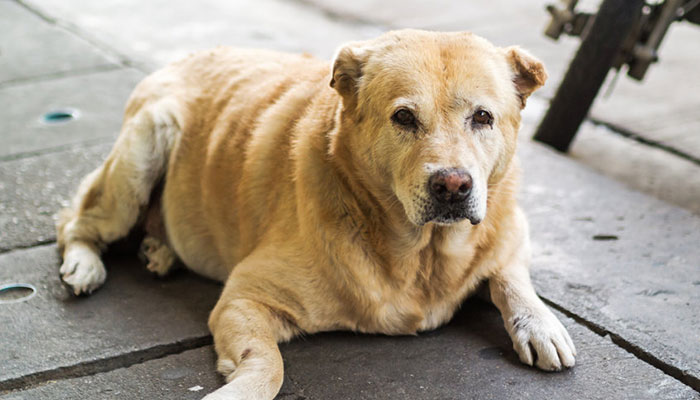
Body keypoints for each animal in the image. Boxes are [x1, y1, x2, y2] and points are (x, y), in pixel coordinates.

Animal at [57, 29, 576, 398]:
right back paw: (85, 264)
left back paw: (159, 249)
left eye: (482, 117)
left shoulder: (512, 229)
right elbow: (269, 365)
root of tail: (188, 56)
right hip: (142, 151)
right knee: (74, 223)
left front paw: (540, 323)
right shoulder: (244, 297)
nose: (453, 186)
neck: (421, 256)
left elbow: (508, 274)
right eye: (404, 117)